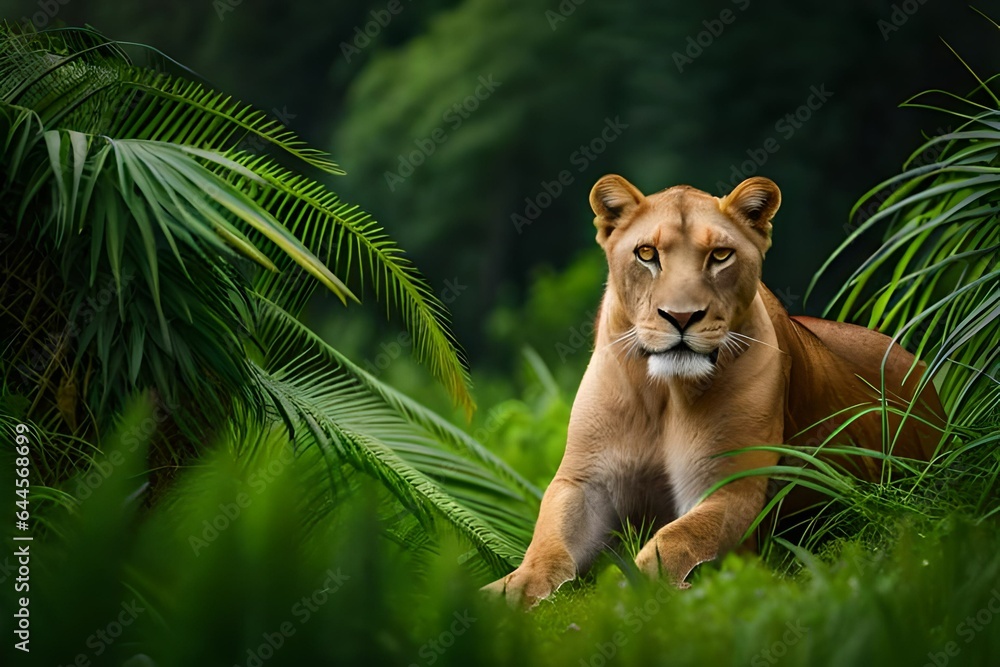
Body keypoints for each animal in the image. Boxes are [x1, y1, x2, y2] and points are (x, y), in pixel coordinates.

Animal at [483, 175, 945, 606]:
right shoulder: (583, 481)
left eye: (720, 255)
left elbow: (674, 540)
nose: (681, 316)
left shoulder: (732, 484)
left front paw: (648, 588)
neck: (665, 393)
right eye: (646, 254)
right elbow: (547, 546)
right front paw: (507, 593)